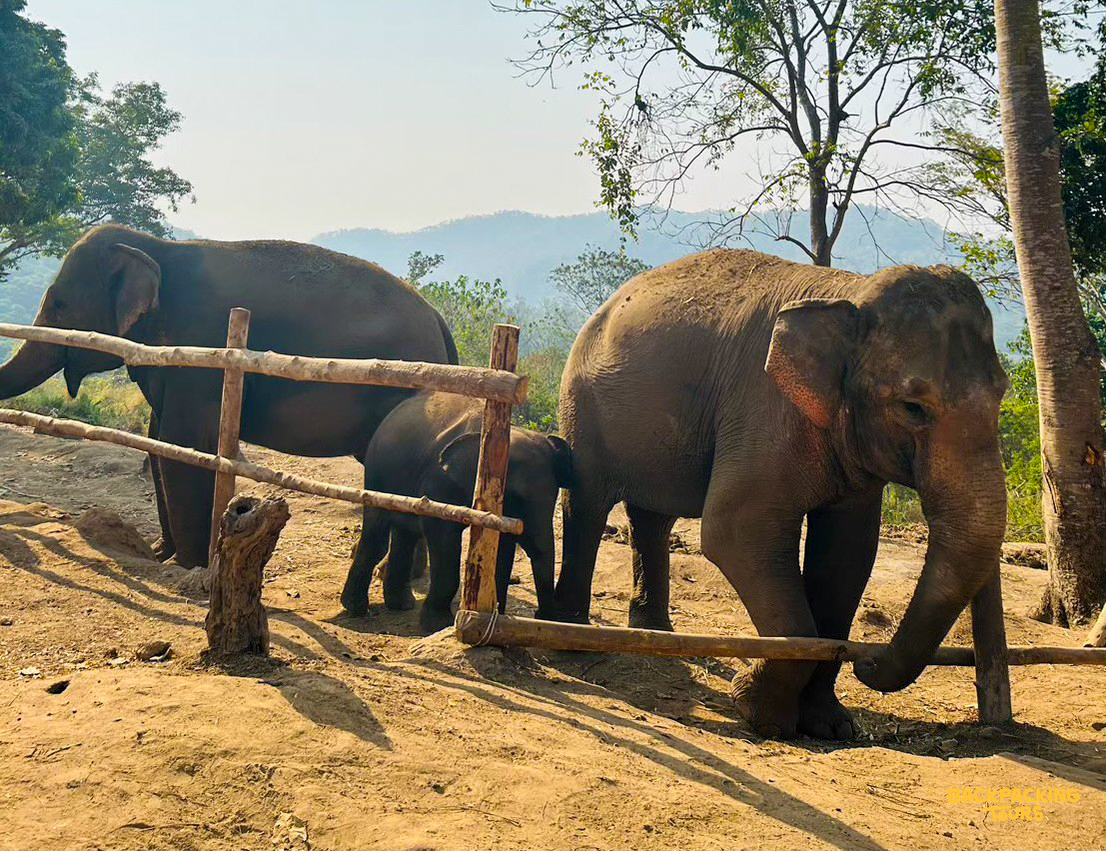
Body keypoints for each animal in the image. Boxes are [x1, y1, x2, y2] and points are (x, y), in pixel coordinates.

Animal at [0, 224, 459, 568]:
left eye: (59, 304)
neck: (154, 248)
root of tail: (438, 321)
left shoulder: (202, 345)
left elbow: (183, 443)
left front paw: (187, 567)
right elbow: (158, 441)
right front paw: (159, 555)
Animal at [340, 391, 573, 634]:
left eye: (554, 497)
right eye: (517, 497)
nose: (542, 617)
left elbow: (501, 549)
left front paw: (494, 619)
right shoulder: (440, 483)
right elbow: (442, 533)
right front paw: (438, 625)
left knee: (406, 533)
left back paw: (401, 605)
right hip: (377, 472)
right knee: (377, 530)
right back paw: (357, 608)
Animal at [554, 249, 1008, 741]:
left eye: (1002, 394)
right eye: (912, 407)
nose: (867, 661)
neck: (850, 292)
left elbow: (848, 555)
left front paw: (830, 725)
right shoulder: (763, 406)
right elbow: (734, 531)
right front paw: (760, 711)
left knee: (652, 518)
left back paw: (658, 637)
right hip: (583, 404)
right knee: (588, 502)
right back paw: (572, 640)